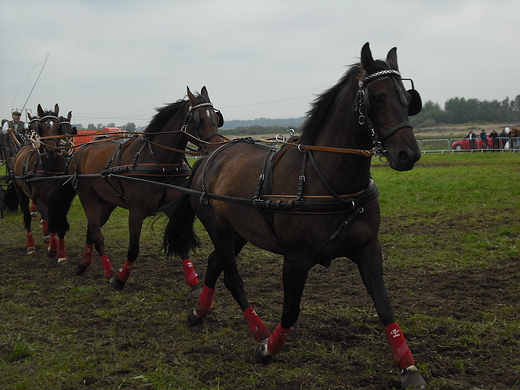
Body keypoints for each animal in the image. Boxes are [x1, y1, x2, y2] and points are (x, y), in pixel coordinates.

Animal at [49, 87, 225, 294]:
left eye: (216, 117)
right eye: (198, 119)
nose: (216, 148)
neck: (160, 163)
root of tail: (80, 151)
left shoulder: (172, 208)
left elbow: (180, 241)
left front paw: (194, 283)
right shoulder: (136, 212)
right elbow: (133, 249)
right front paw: (120, 280)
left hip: (107, 202)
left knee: (91, 231)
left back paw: (83, 264)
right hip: (88, 197)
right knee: (97, 234)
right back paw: (109, 272)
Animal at [166, 44, 426, 388]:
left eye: (406, 98)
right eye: (378, 98)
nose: (408, 154)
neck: (327, 181)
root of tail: (212, 155)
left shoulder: (368, 248)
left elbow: (384, 305)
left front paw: (408, 367)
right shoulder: (296, 259)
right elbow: (290, 310)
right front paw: (268, 349)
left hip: (239, 232)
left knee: (213, 264)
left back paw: (199, 312)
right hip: (218, 229)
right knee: (232, 277)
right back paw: (257, 330)